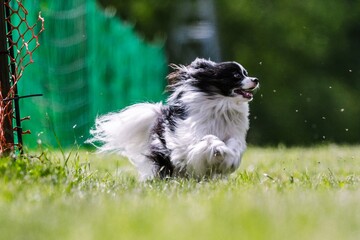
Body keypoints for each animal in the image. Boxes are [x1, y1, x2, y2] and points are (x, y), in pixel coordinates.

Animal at [87, 58, 258, 180]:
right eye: (236, 75)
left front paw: (230, 159)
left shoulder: (234, 134)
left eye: (246, 73)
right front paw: (220, 149)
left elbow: (234, 144)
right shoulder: (192, 137)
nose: (256, 79)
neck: (222, 106)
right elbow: (209, 138)